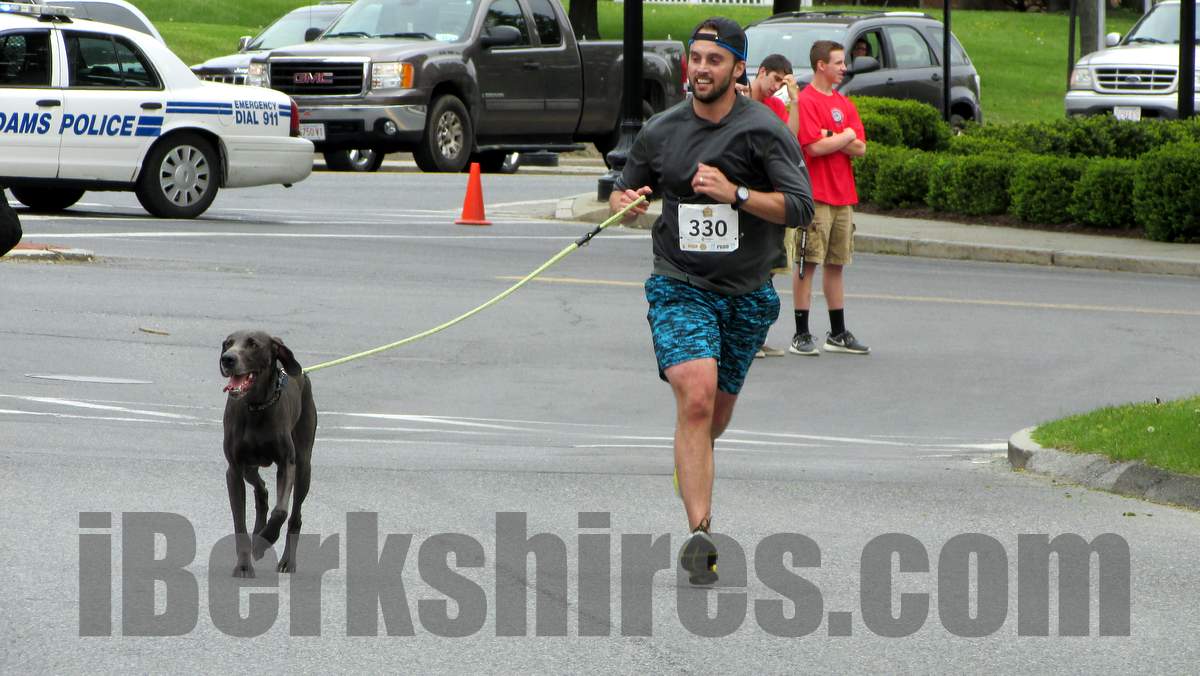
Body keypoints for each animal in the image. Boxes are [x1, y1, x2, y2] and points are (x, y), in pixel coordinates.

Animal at [219, 330, 316, 577]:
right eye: (228, 344)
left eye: (253, 344)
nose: (227, 359)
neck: (256, 406)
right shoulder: (234, 470)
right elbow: (239, 522)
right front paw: (244, 565)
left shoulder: (287, 463)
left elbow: (281, 511)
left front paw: (265, 541)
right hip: (249, 467)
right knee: (261, 490)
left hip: (304, 466)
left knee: (295, 516)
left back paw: (287, 561)